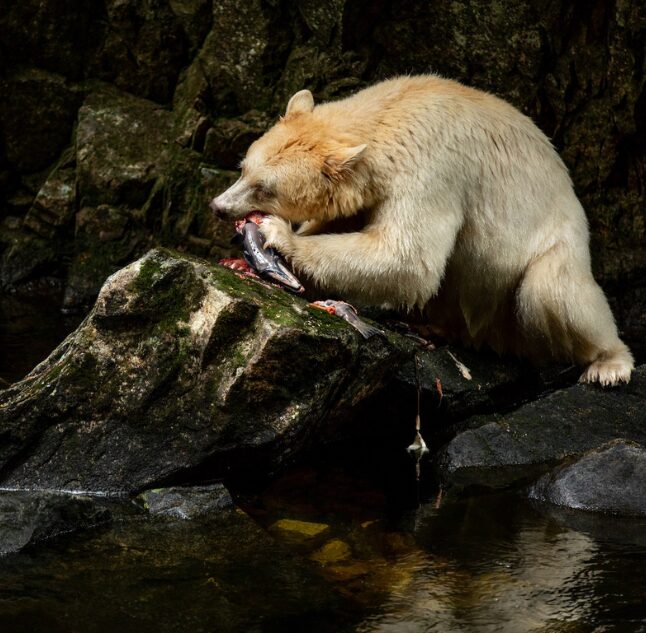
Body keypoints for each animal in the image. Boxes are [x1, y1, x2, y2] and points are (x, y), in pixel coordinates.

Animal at [210, 75, 634, 386]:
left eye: (265, 188)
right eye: (243, 168)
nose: (218, 206)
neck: (391, 111)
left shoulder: (430, 166)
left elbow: (408, 256)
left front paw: (278, 235)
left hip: (556, 246)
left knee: (552, 291)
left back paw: (609, 364)